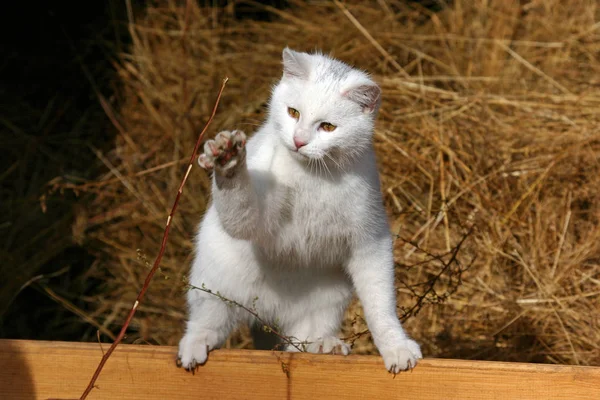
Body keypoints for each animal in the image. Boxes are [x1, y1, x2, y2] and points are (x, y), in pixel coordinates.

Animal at [178, 48, 422, 374]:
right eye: (293, 112)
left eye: (327, 127)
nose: (298, 141)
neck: (313, 175)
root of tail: (269, 310)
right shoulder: (255, 218)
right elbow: (240, 205)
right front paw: (228, 160)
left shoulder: (371, 241)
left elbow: (380, 306)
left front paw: (395, 346)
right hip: (214, 286)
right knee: (208, 323)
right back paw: (195, 345)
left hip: (328, 298)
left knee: (302, 339)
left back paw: (323, 345)